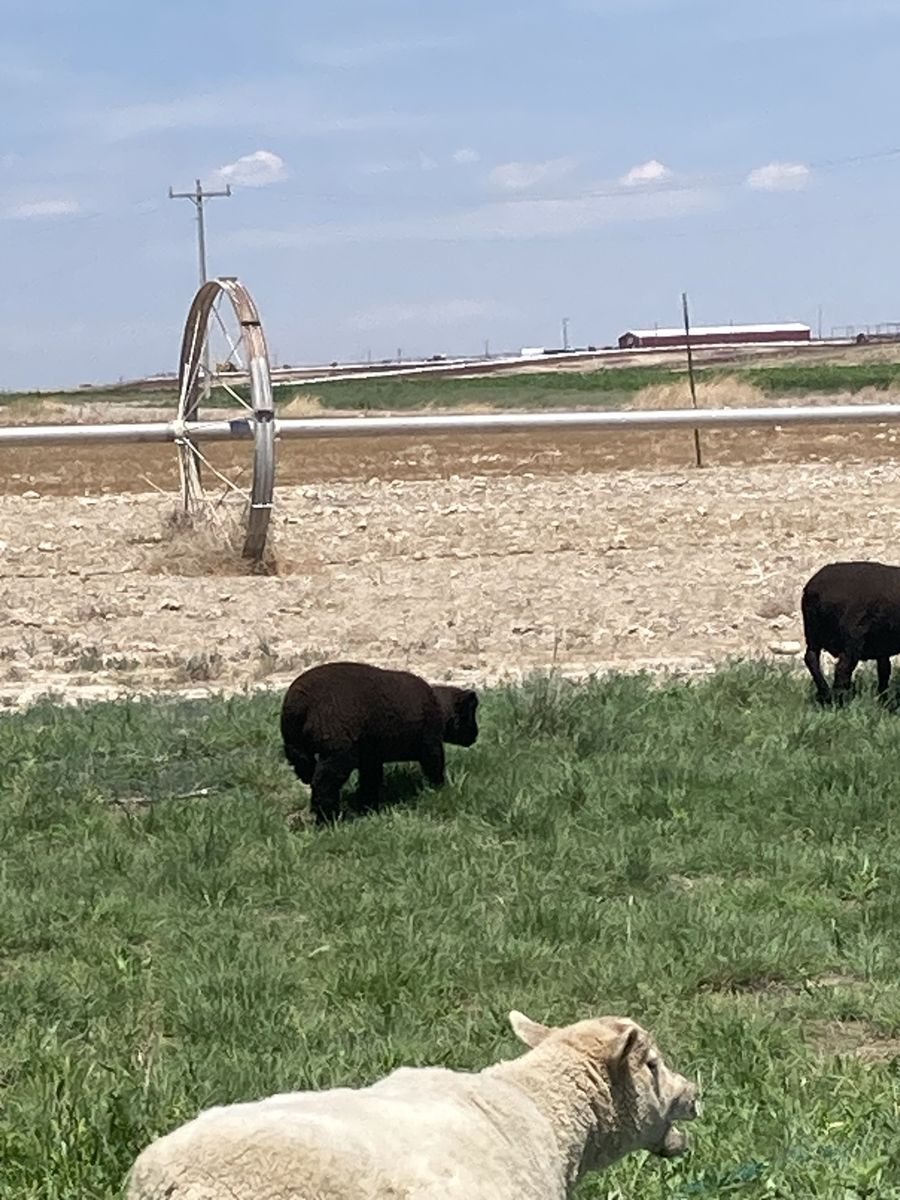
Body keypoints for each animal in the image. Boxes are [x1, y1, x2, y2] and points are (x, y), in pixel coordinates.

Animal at [280, 661, 479, 824]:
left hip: (295, 745)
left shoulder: (371, 757)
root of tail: (300, 703)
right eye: (469, 714)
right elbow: (434, 768)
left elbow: (371, 781)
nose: (476, 735)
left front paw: (367, 807)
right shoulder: (431, 744)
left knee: (306, 769)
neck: (439, 708)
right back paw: (328, 819)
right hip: (338, 754)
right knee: (324, 784)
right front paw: (440, 789)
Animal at [802, 560, 900, 705]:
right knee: (842, 668)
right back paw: (839, 700)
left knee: (812, 658)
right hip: (852, 636)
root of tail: (816, 590)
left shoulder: (882, 646)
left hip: (813, 632)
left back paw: (825, 695)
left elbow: (884, 670)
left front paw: (883, 701)